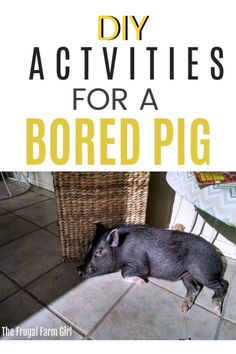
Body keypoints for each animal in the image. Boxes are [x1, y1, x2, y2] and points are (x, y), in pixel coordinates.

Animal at [78, 224, 229, 316]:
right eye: (89, 247)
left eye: (98, 252)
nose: (78, 269)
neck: (122, 249)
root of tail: (218, 255)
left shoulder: (140, 264)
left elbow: (124, 273)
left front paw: (143, 282)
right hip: (187, 274)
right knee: (196, 287)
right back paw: (183, 309)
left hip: (203, 270)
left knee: (223, 284)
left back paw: (217, 311)